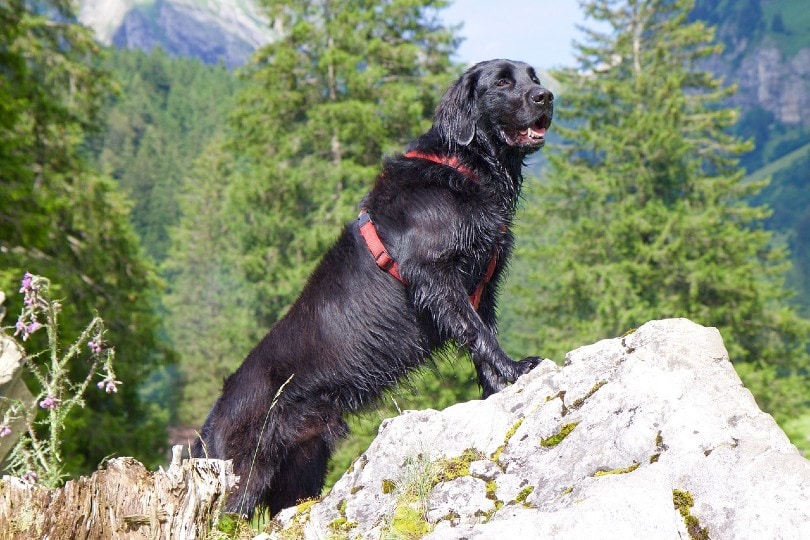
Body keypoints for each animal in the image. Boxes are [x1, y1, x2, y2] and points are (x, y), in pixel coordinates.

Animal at [193, 60, 552, 520]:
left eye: (533, 78)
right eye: (504, 81)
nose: (546, 97)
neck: (461, 167)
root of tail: (210, 424)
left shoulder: (482, 287)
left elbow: (482, 337)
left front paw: (495, 389)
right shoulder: (436, 276)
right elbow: (476, 332)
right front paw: (517, 369)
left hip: (302, 464)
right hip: (244, 479)